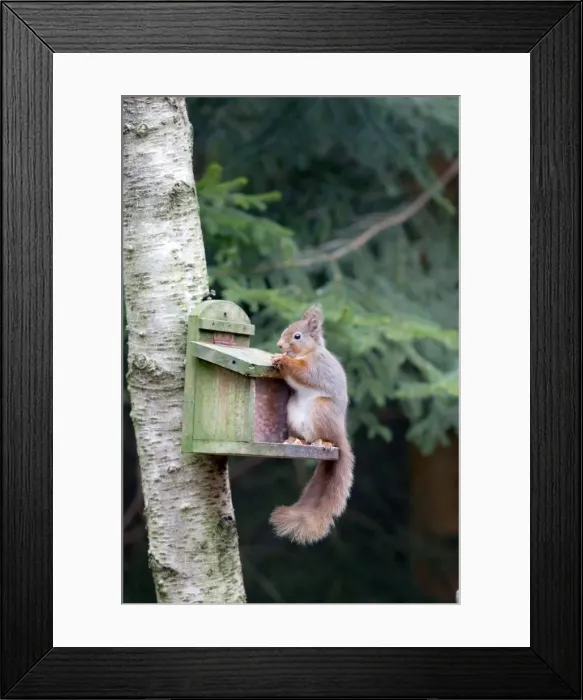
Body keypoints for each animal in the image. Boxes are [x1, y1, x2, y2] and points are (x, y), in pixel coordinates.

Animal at [270, 304, 354, 545]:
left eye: (297, 336)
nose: (279, 345)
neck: (307, 352)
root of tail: (341, 436)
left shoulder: (316, 367)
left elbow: (304, 373)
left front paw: (282, 359)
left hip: (321, 409)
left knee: (326, 438)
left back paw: (324, 442)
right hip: (292, 412)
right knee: (305, 438)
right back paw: (294, 440)